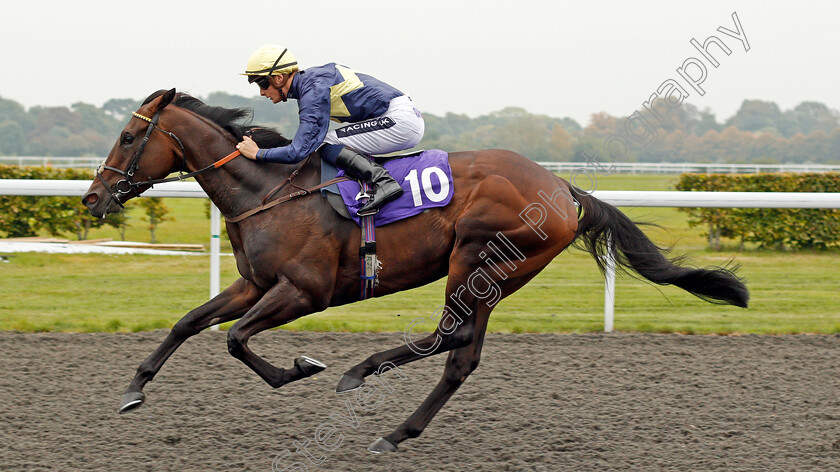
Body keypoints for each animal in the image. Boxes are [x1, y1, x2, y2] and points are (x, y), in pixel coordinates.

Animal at [80, 89, 748, 454]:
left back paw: (360, 375)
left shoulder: (304, 291)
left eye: (129, 135)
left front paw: (303, 367)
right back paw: (397, 429)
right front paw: (134, 389)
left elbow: (237, 339)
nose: (92, 198)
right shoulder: (255, 283)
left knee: (450, 335)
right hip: (493, 276)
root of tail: (562, 188)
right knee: (461, 355)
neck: (266, 190)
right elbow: (190, 322)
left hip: (476, 258)